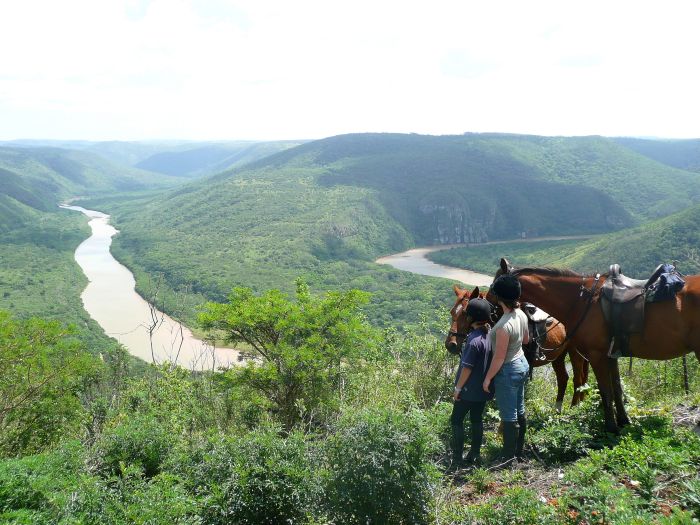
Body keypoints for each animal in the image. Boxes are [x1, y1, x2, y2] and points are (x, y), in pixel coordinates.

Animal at [446, 282, 588, 410]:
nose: (450, 345)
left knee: (578, 380)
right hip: (558, 356)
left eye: (466, 313)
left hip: (575, 354)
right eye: (452, 312)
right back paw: (557, 410)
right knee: (563, 378)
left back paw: (574, 407)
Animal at [494, 256, 700, 432]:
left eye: (494, 288)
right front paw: (623, 421)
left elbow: (605, 391)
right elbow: (616, 388)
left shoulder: (597, 355)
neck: (581, 300)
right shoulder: (611, 355)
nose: (493, 318)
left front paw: (611, 427)